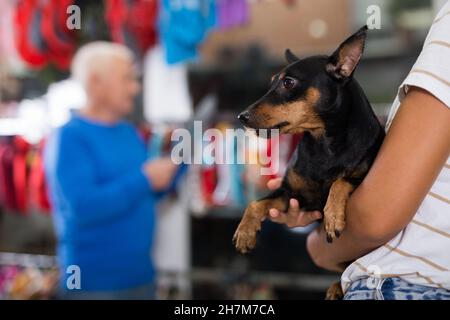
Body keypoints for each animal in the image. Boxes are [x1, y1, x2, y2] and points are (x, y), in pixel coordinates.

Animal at [234, 26, 384, 298]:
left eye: (288, 82)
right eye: (272, 81)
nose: (242, 116)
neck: (323, 143)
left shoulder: (364, 178)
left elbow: (341, 181)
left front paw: (332, 216)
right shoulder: (292, 197)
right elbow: (255, 203)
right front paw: (245, 232)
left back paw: (336, 286)